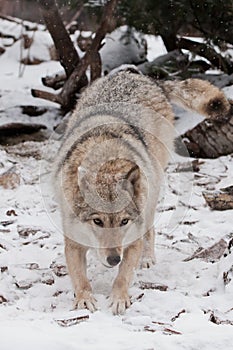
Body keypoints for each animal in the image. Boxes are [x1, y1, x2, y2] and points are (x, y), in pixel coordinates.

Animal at [53, 70, 230, 314]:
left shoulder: (132, 239)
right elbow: (80, 278)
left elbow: (123, 276)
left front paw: (118, 299)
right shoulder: (73, 242)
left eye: (124, 221)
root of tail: (144, 78)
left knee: (151, 229)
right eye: (97, 221)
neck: (107, 162)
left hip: (152, 191)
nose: (113, 259)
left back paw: (147, 259)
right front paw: (84, 299)